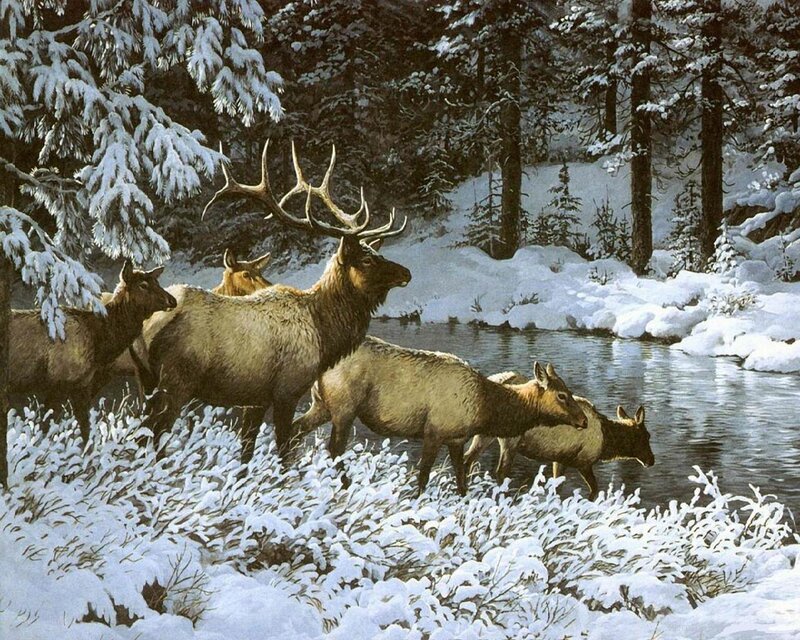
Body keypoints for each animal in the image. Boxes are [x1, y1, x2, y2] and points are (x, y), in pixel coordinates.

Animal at [10, 261, 177, 444]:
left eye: (157, 282)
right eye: (143, 285)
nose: (172, 300)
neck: (98, 344)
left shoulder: (82, 384)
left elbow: (84, 428)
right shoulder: (58, 382)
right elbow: (49, 426)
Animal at [141, 141, 411, 464]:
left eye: (377, 252)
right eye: (367, 260)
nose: (406, 272)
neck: (324, 334)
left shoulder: (255, 400)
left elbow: (246, 452)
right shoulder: (287, 391)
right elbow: (284, 451)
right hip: (176, 381)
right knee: (155, 434)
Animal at [292, 336, 588, 497]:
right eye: (562, 395)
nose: (584, 421)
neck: (485, 407)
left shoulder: (456, 438)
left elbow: (461, 477)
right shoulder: (433, 431)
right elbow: (423, 474)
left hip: (322, 405)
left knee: (296, 429)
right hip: (344, 408)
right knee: (334, 449)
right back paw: (344, 485)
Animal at [463, 371, 655, 500]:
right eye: (647, 436)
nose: (651, 460)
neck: (606, 441)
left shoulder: (560, 460)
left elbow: (557, 487)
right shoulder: (583, 462)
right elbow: (594, 489)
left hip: (484, 435)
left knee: (467, 459)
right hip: (510, 441)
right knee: (500, 472)